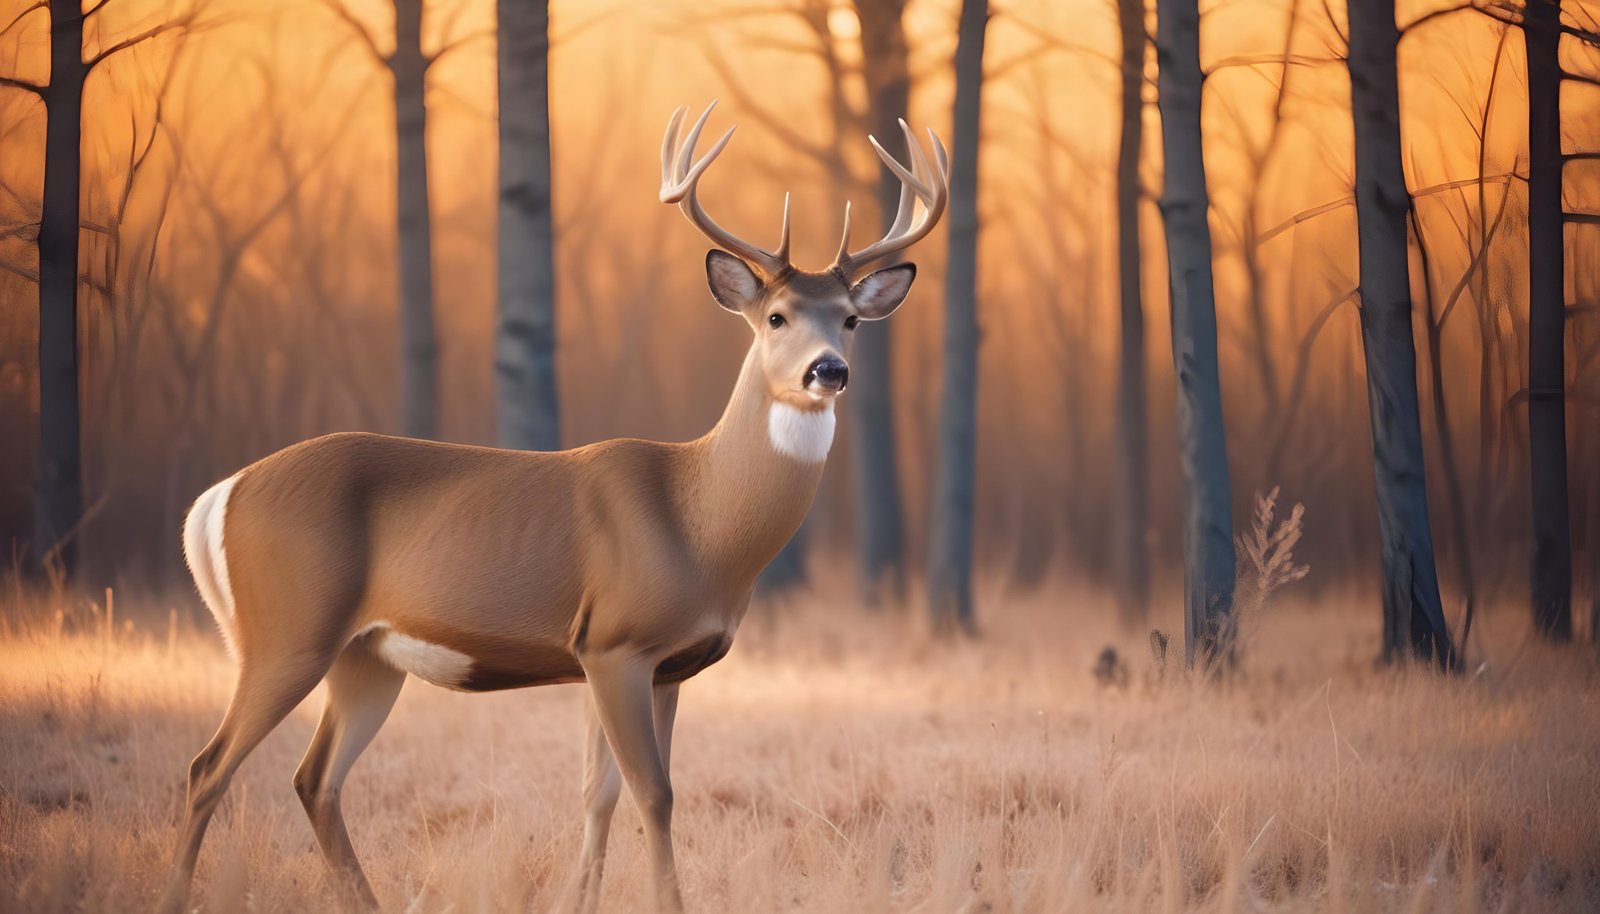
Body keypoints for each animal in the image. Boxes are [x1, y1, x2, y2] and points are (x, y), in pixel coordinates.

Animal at [157, 101, 948, 914]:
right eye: (778, 317)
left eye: (850, 318)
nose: (830, 370)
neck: (700, 523)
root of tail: (217, 498)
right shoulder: (618, 642)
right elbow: (654, 794)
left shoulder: (656, 664)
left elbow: (600, 794)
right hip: (287, 630)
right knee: (208, 766)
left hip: (365, 653)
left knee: (314, 779)